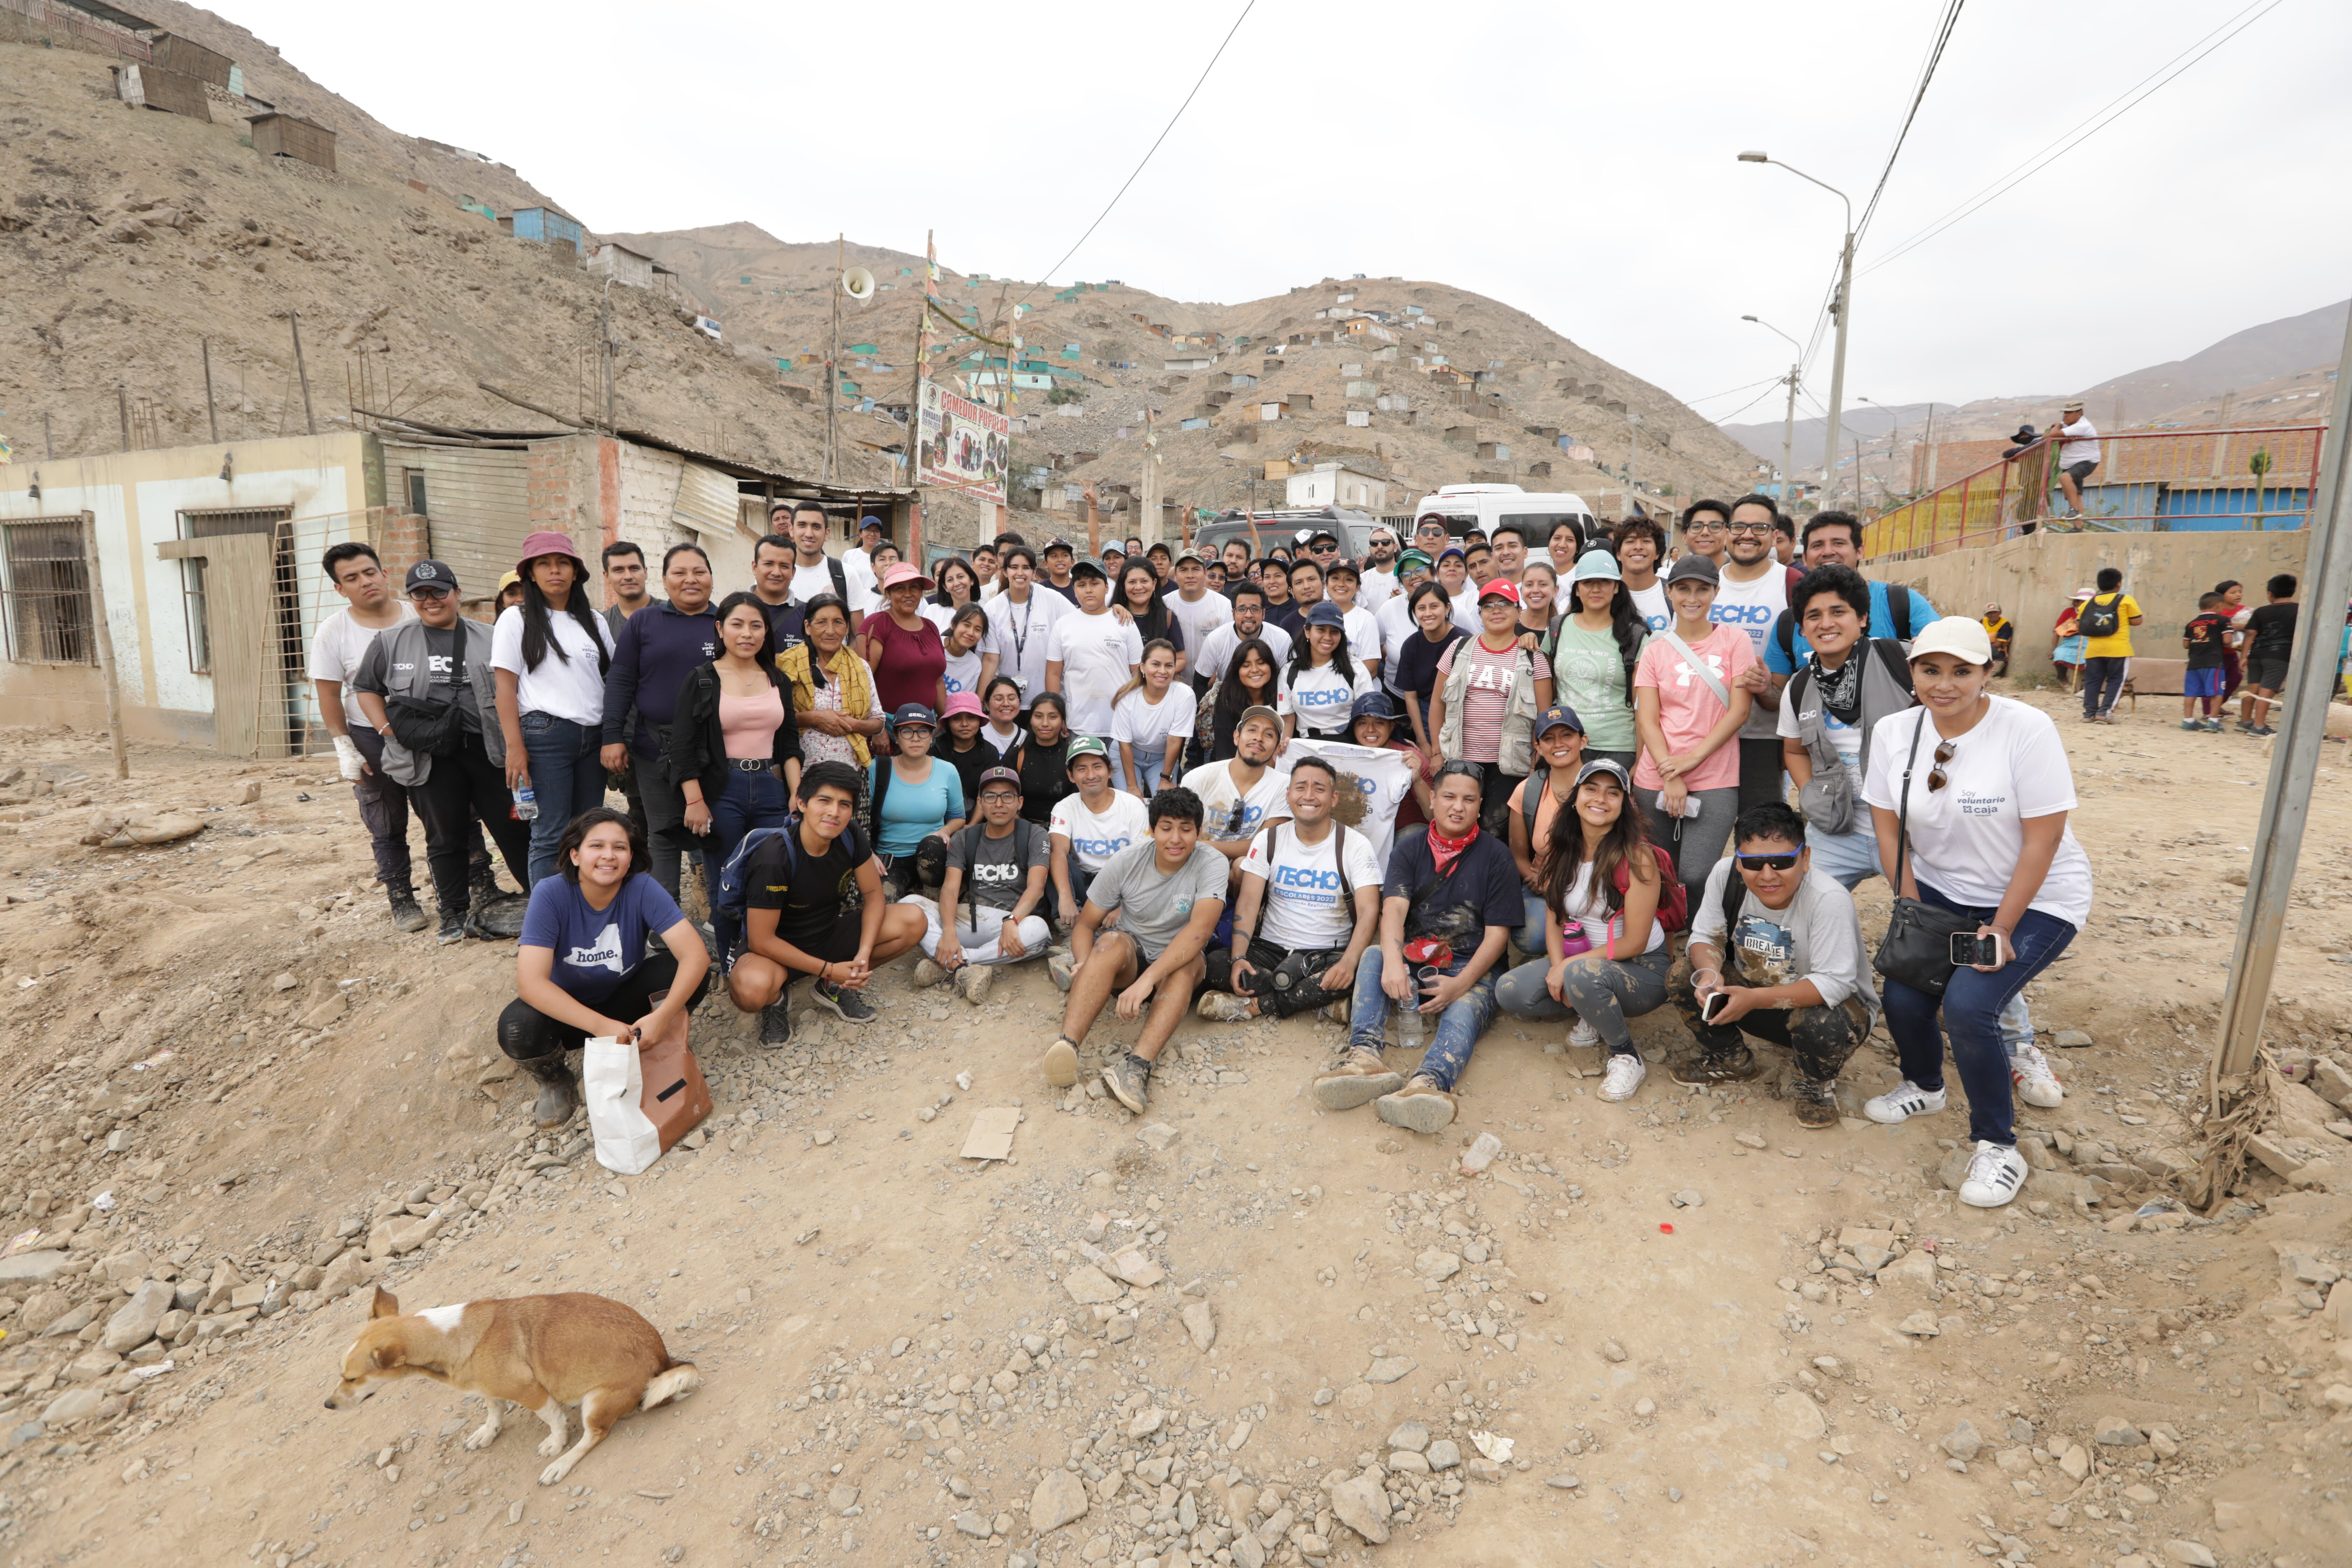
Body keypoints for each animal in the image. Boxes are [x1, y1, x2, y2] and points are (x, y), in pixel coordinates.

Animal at [327, 1288, 701, 1485]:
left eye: (351, 1378)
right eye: (341, 1373)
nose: (329, 1405)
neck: (448, 1338)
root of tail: (663, 1358)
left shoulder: (530, 1392)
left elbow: (553, 1420)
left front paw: (555, 1445)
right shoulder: (490, 1390)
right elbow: (493, 1413)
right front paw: (487, 1433)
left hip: (597, 1401)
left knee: (594, 1436)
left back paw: (561, 1464)